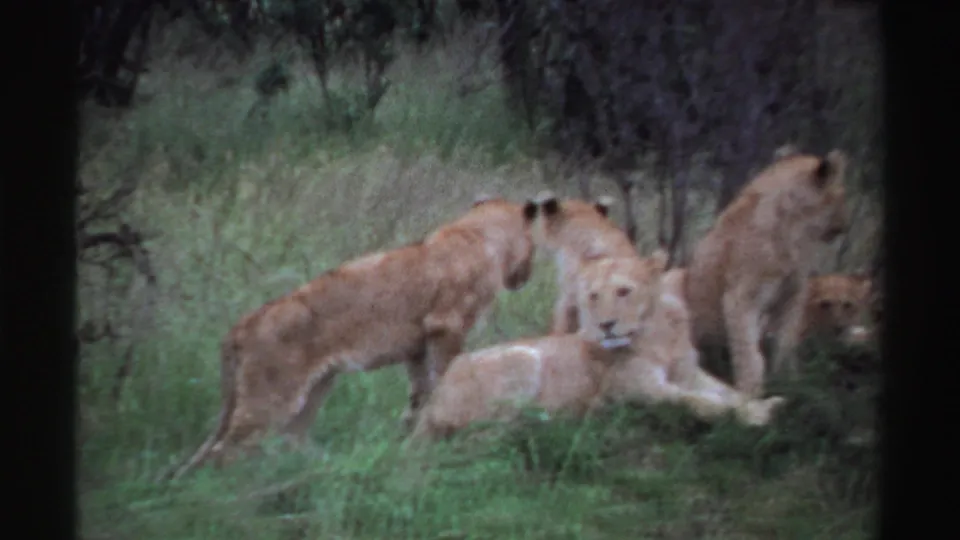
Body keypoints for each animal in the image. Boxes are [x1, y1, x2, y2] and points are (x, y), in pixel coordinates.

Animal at [164, 195, 540, 480]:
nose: (527, 275)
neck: (478, 233)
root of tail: (242, 324)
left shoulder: (417, 348)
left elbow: (420, 394)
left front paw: (411, 434)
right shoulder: (447, 326)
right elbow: (446, 375)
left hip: (315, 388)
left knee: (282, 439)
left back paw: (318, 468)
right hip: (270, 396)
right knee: (226, 451)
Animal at [408, 251, 786, 443]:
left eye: (623, 291)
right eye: (592, 296)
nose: (606, 325)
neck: (657, 334)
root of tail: (431, 403)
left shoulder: (690, 373)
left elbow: (729, 392)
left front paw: (765, 404)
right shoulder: (640, 390)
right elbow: (698, 402)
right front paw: (754, 417)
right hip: (521, 357)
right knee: (491, 427)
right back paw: (557, 418)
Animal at [682, 146, 851, 398]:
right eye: (843, 195)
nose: (846, 224)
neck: (796, 234)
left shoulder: (793, 295)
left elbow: (785, 342)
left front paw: (791, 383)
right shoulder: (740, 298)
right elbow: (749, 353)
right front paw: (750, 393)